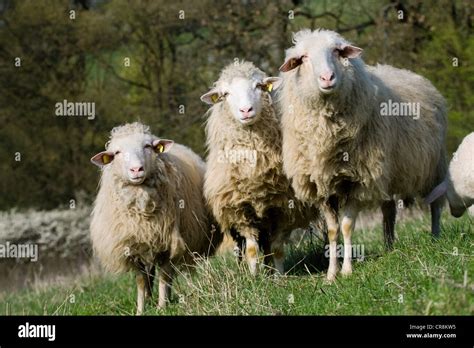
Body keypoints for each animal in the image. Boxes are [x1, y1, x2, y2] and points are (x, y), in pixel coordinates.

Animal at [90, 121, 221, 312]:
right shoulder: (132, 247)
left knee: (167, 274)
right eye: (117, 153)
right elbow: (141, 281)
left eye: (147, 146)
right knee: (149, 275)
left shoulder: (168, 242)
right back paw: (149, 297)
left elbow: (164, 276)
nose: (136, 169)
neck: (144, 213)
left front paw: (162, 306)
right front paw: (141, 309)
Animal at [201, 61, 316, 276]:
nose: (246, 110)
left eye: (258, 86)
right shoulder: (241, 213)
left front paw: (279, 277)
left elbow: (277, 249)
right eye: (226, 93)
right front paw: (254, 278)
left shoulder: (282, 210)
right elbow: (252, 250)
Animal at [278, 28, 448, 282]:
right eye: (304, 58)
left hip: (433, 166)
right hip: (388, 173)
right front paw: (331, 274)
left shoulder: (358, 181)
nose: (327, 78)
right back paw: (389, 247)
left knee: (435, 203)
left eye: (337, 51)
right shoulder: (321, 187)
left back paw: (435, 237)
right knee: (388, 210)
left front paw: (347, 270)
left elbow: (347, 226)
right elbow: (332, 230)